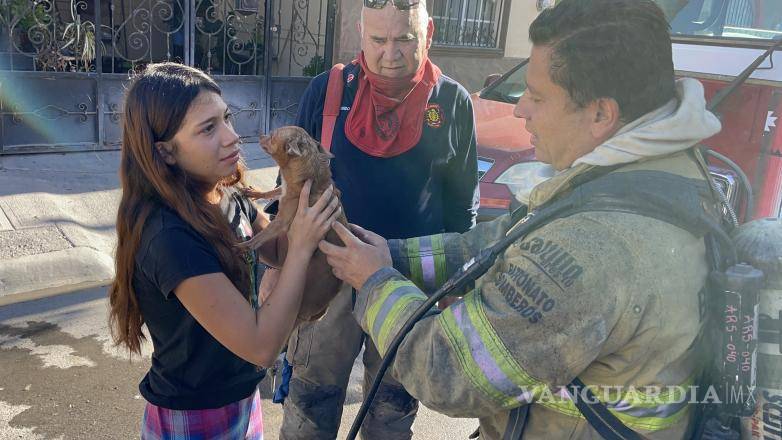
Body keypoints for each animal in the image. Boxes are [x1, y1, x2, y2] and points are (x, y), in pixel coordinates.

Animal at [243, 125, 344, 322]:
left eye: (273, 136)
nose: (261, 135)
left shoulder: (280, 222)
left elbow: (259, 237)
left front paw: (243, 246)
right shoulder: (282, 191)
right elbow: (271, 192)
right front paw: (254, 193)